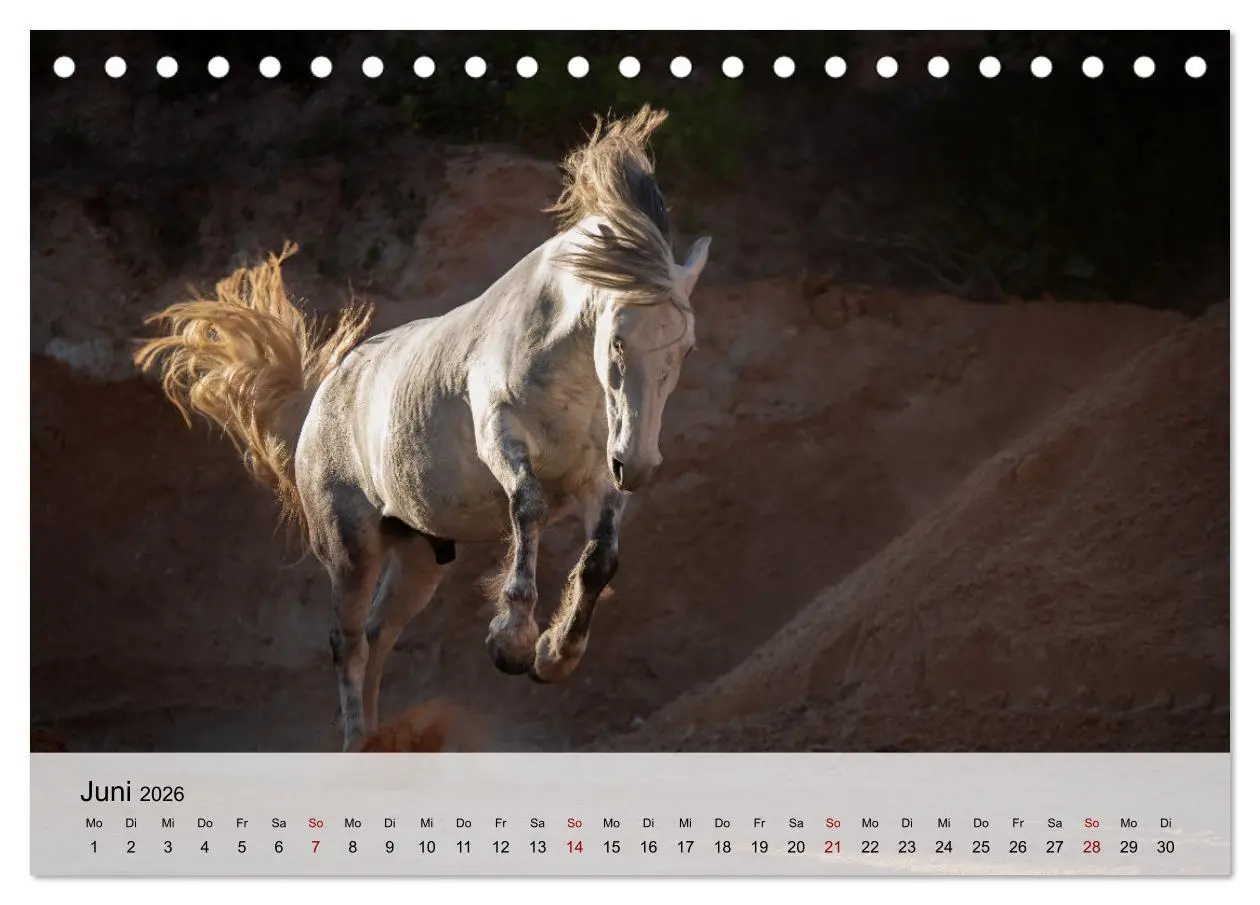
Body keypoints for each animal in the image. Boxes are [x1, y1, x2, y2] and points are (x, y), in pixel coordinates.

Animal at [133, 106, 711, 751]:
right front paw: (511, 641)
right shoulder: (501, 438)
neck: (567, 377)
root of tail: (322, 396)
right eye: (616, 341)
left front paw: (554, 655)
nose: (638, 464)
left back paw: (378, 740)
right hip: (351, 548)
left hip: (417, 556)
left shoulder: (597, 481)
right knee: (347, 641)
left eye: (684, 348)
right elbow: (529, 507)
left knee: (379, 633)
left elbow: (600, 561)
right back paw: (355, 741)